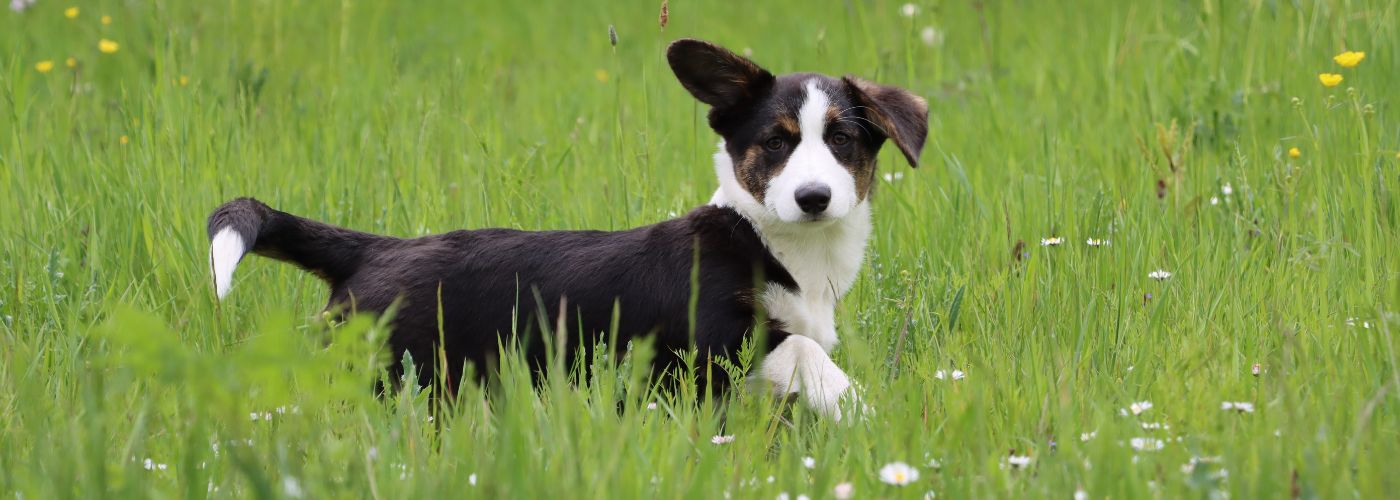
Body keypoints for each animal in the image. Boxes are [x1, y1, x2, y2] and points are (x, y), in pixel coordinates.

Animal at [204, 38, 929, 417]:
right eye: (776, 143)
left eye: (842, 141)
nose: (813, 197)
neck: (782, 246)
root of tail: (373, 250)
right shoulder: (716, 339)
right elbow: (806, 353)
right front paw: (866, 411)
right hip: (376, 370)